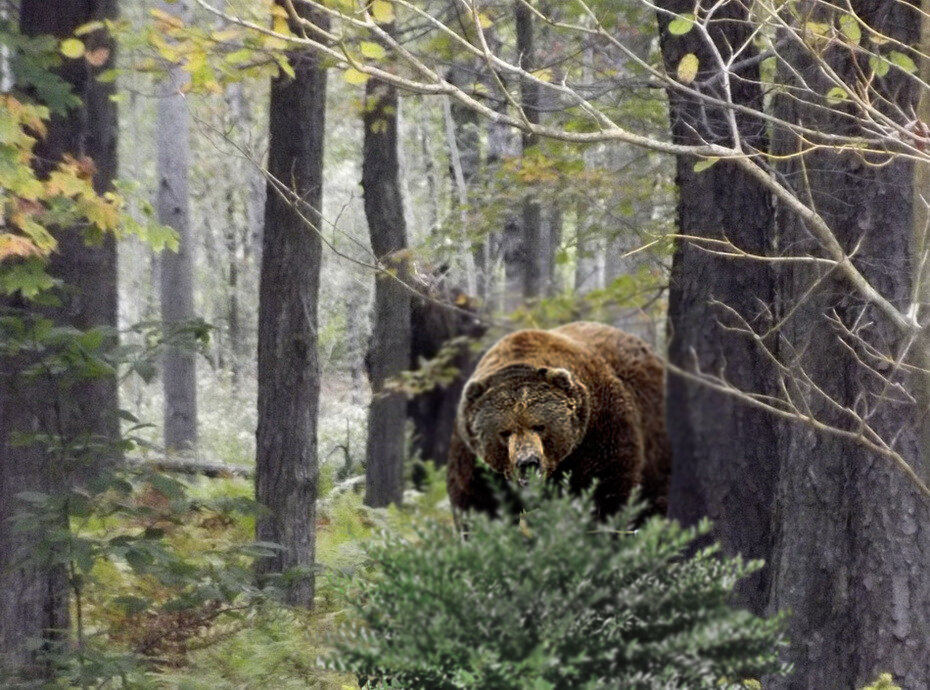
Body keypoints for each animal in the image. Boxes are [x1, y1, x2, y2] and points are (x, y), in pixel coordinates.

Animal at [444, 320, 668, 520]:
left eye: (539, 426)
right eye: (504, 432)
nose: (528, 462)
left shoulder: (599, 431)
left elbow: (605, 489)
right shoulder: (472, 456)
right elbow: (476, 503)